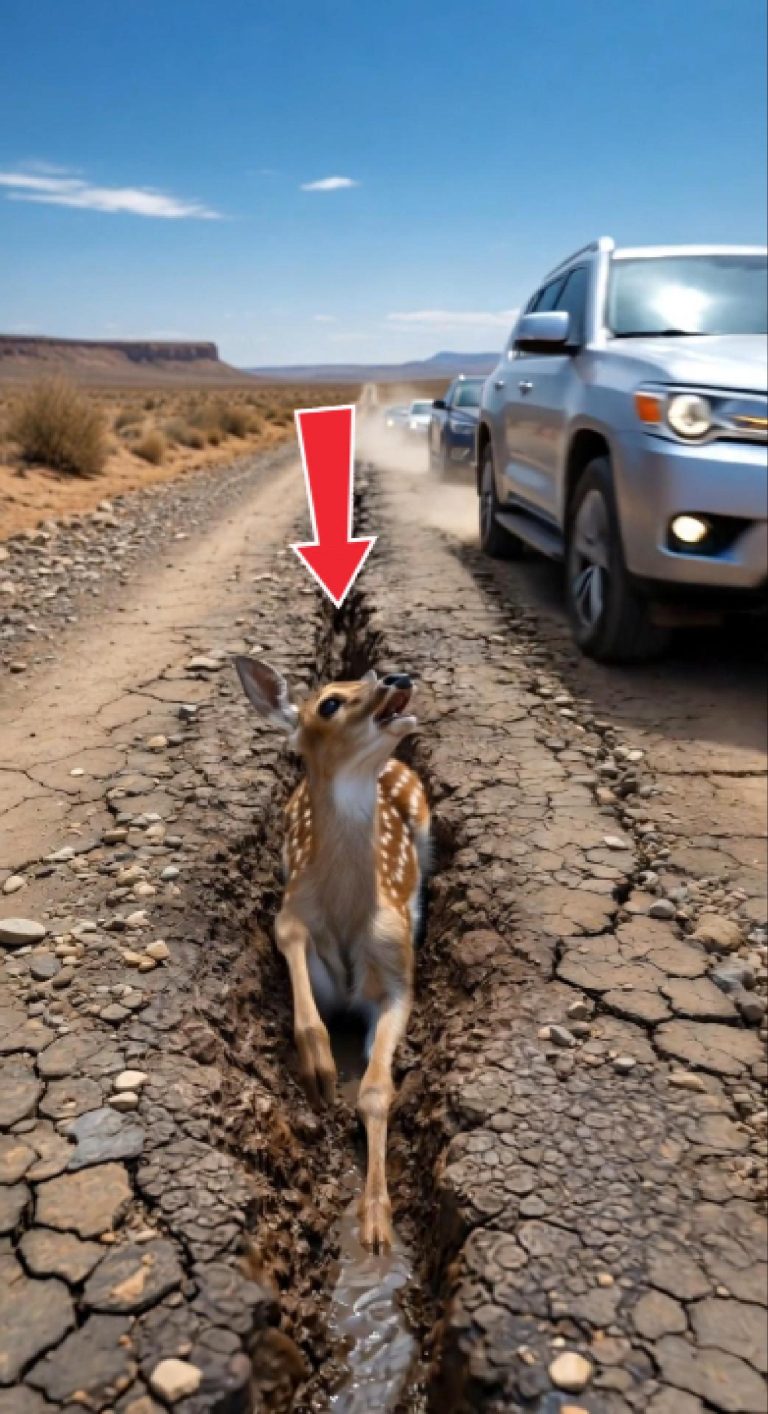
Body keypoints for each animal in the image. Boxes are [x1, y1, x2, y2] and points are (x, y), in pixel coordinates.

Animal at [233, 657, 430, 1253]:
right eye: (329, 703)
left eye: (373, 674)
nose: (397, 677)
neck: (347, 915)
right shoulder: (293, 904)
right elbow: (289, 937)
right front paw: (319, 1070)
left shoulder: (398, 974)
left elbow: (376, 1090)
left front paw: (376, 1222)